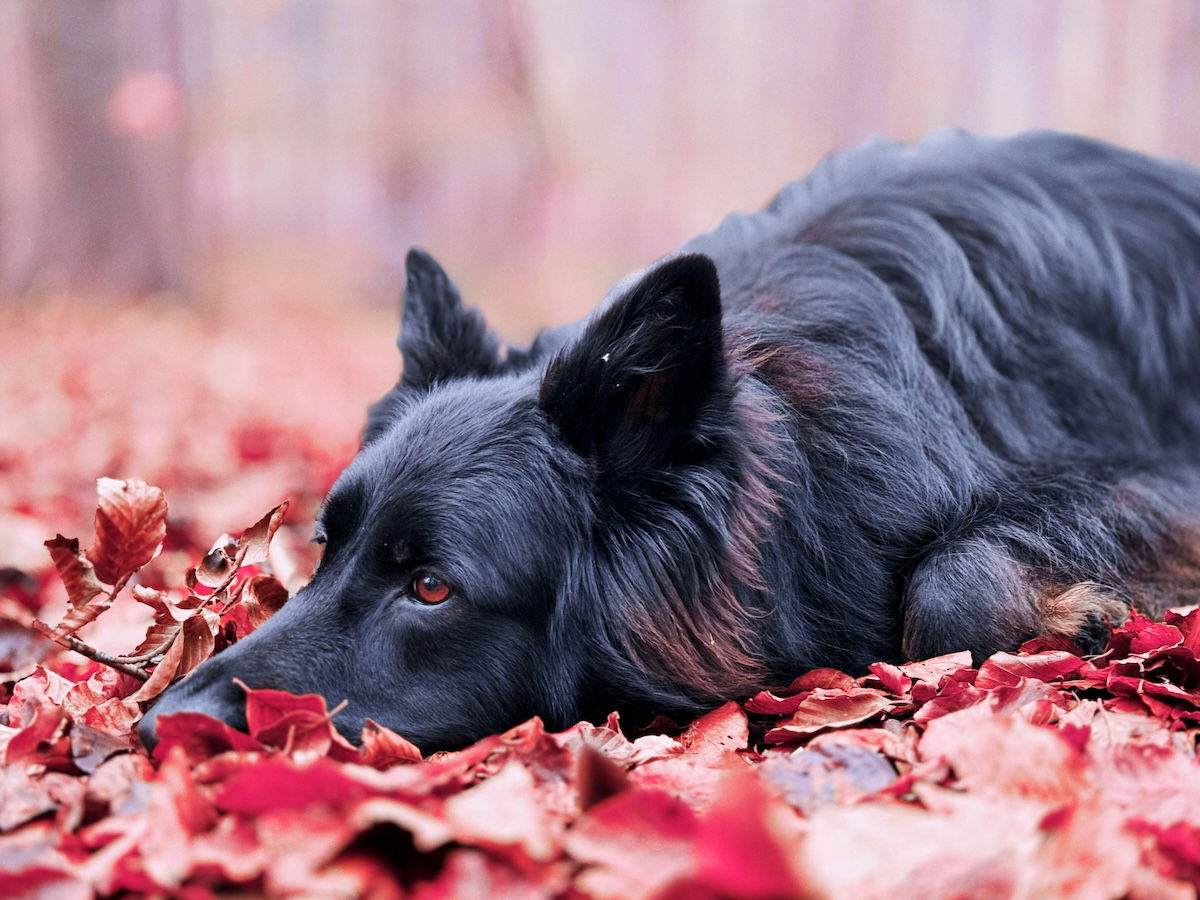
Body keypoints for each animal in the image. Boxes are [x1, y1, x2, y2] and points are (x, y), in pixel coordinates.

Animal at [136, 132, 1200, 753]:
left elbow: (949, 585)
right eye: (325, 550)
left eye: (431, 587)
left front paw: (1077, 617)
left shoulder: (1154, 475)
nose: (161, 725)